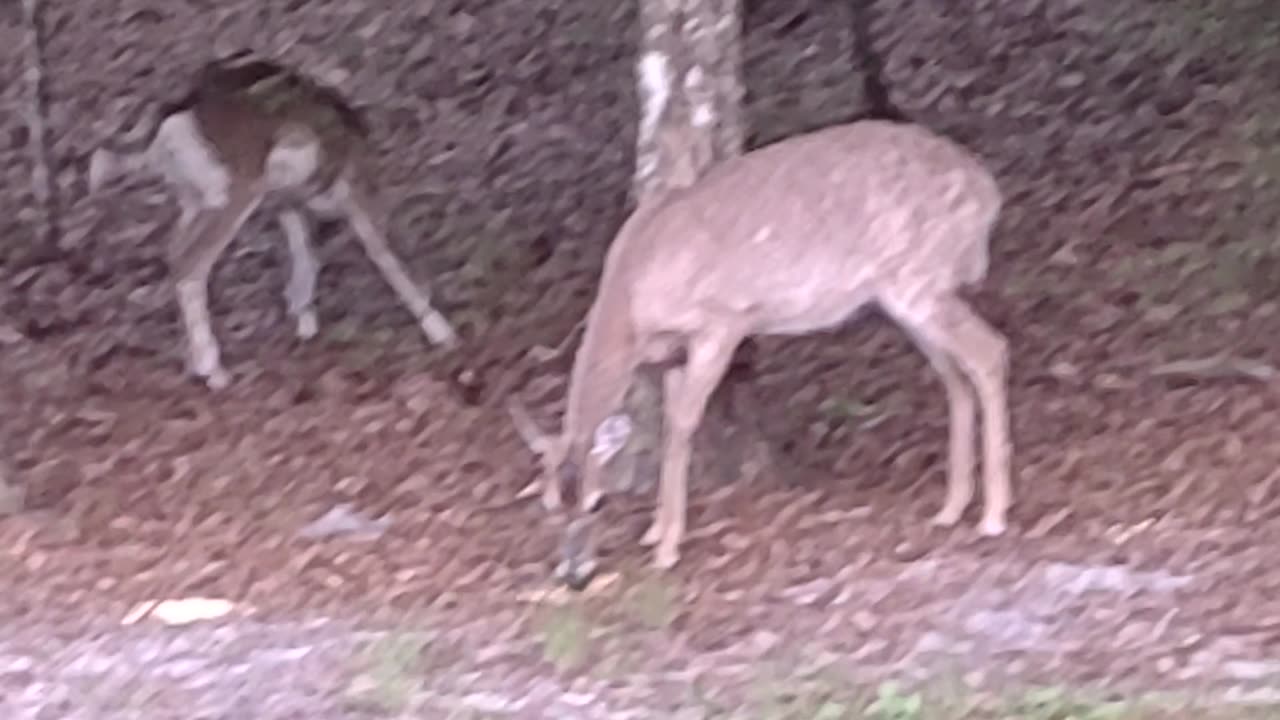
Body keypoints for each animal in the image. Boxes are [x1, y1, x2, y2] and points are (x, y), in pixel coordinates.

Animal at [86, 51, 455, 389]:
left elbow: (305, 254)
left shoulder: (286, 201)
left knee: (174, 248)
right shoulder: (352, 190)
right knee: (190, 263)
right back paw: (214, 371)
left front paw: (304, 320)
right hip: (235, 190)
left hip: (193, 196)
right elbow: (384, 254)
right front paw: (442, 332)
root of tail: (171, 123)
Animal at [509, 119, 1008, 584]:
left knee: (989, 350)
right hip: (903, 295)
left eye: (597, 502)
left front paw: (667, 547)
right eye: (550, 505)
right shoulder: (672, 354)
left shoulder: (721, 322)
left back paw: (994, 516)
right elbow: (672, 424)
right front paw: (654, 531)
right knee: (955, 374)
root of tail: (988, 193)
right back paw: (952, 507)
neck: (632, 298)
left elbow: (682, 425)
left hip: (919, 279)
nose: (573, 575)